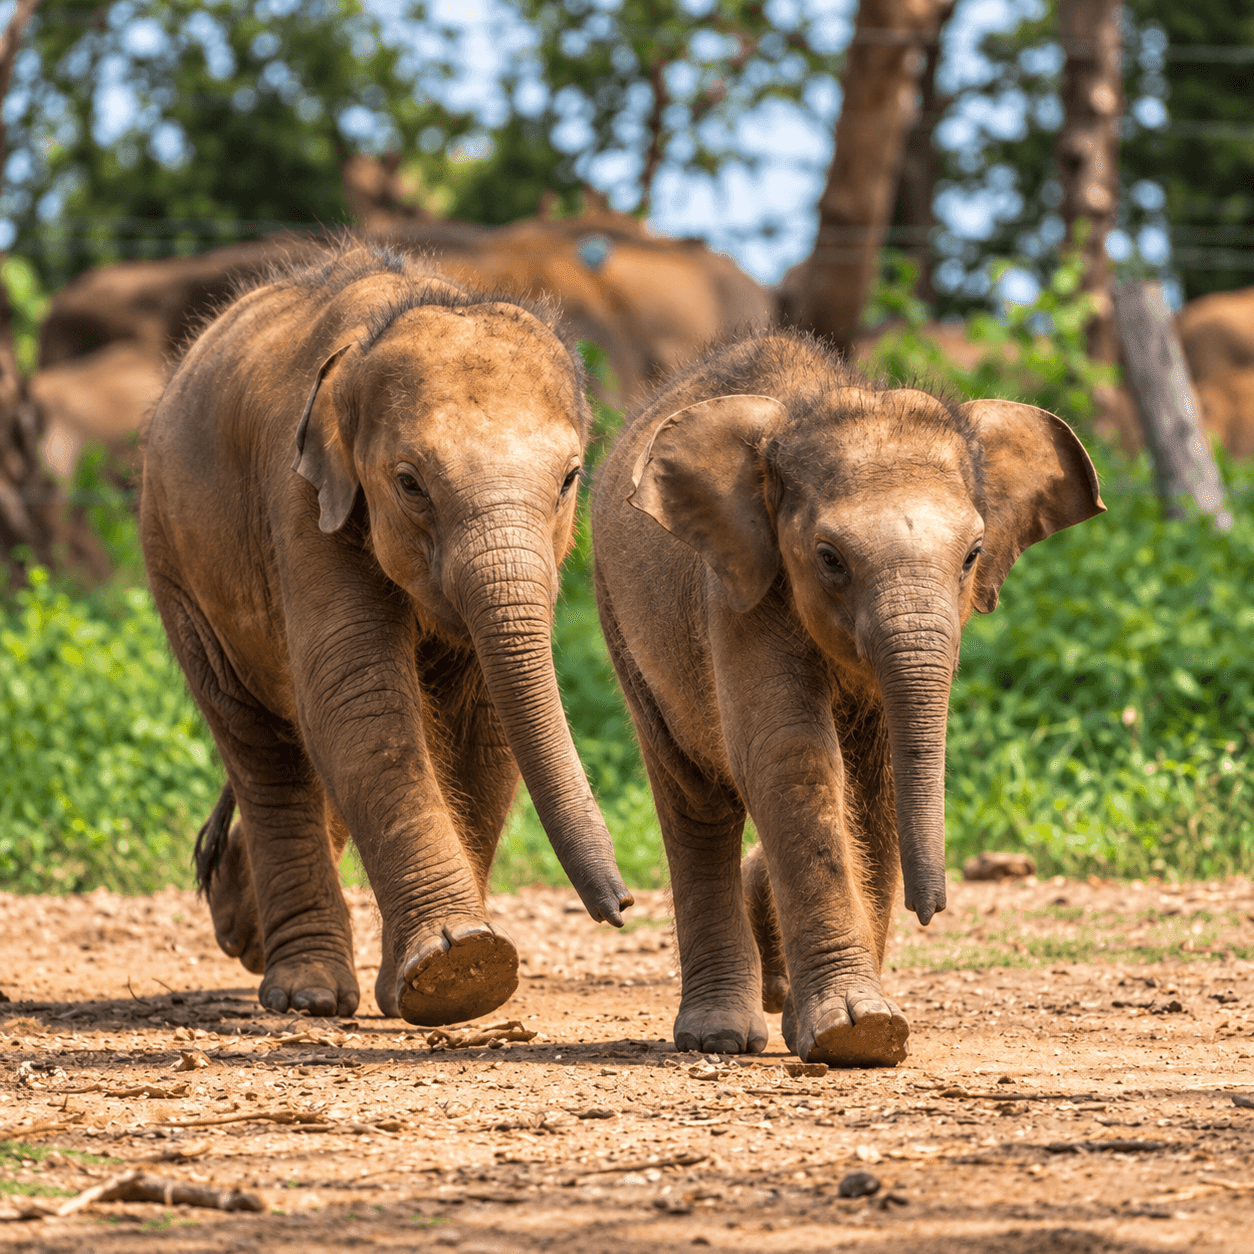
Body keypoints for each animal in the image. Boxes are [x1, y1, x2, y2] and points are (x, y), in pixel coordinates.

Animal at [141, 242, 632, 1025]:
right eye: (410, 484)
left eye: (569, 479)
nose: (621, 905)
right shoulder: (301, 501)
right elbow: (357, 695)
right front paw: (458, 964)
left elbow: (482, 718)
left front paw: (438, 982)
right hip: (174, 563)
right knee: (261, 746)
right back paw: (304, 992)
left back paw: (244, 925)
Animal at [592, 330, 1104, 1065]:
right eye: (830, 558)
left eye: (974, 554)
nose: (931, 909)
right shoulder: (741, 584)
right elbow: (790, 756)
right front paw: (856, 1030)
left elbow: (877, 783)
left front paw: (866, 1030)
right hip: (619, 621)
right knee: (695, 796)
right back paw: (717, 1036)